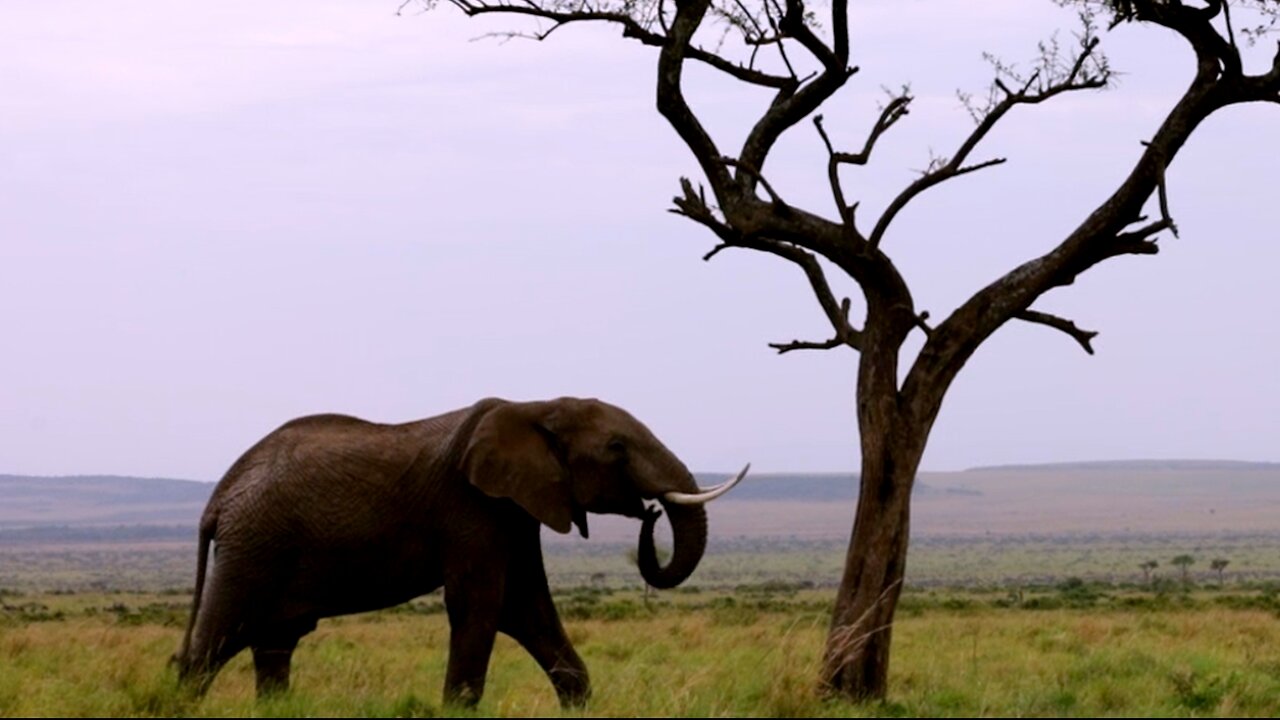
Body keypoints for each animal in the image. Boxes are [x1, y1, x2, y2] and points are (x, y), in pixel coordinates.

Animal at [175, 397, 747, 707]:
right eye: (617, 449)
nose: (651, 513)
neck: (535, 405)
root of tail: (218, 496)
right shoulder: (472, 505)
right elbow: (482, 605)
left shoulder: (516, 510)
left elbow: (527, 608)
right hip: (254, 548)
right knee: (214, 643)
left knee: (274, 643)